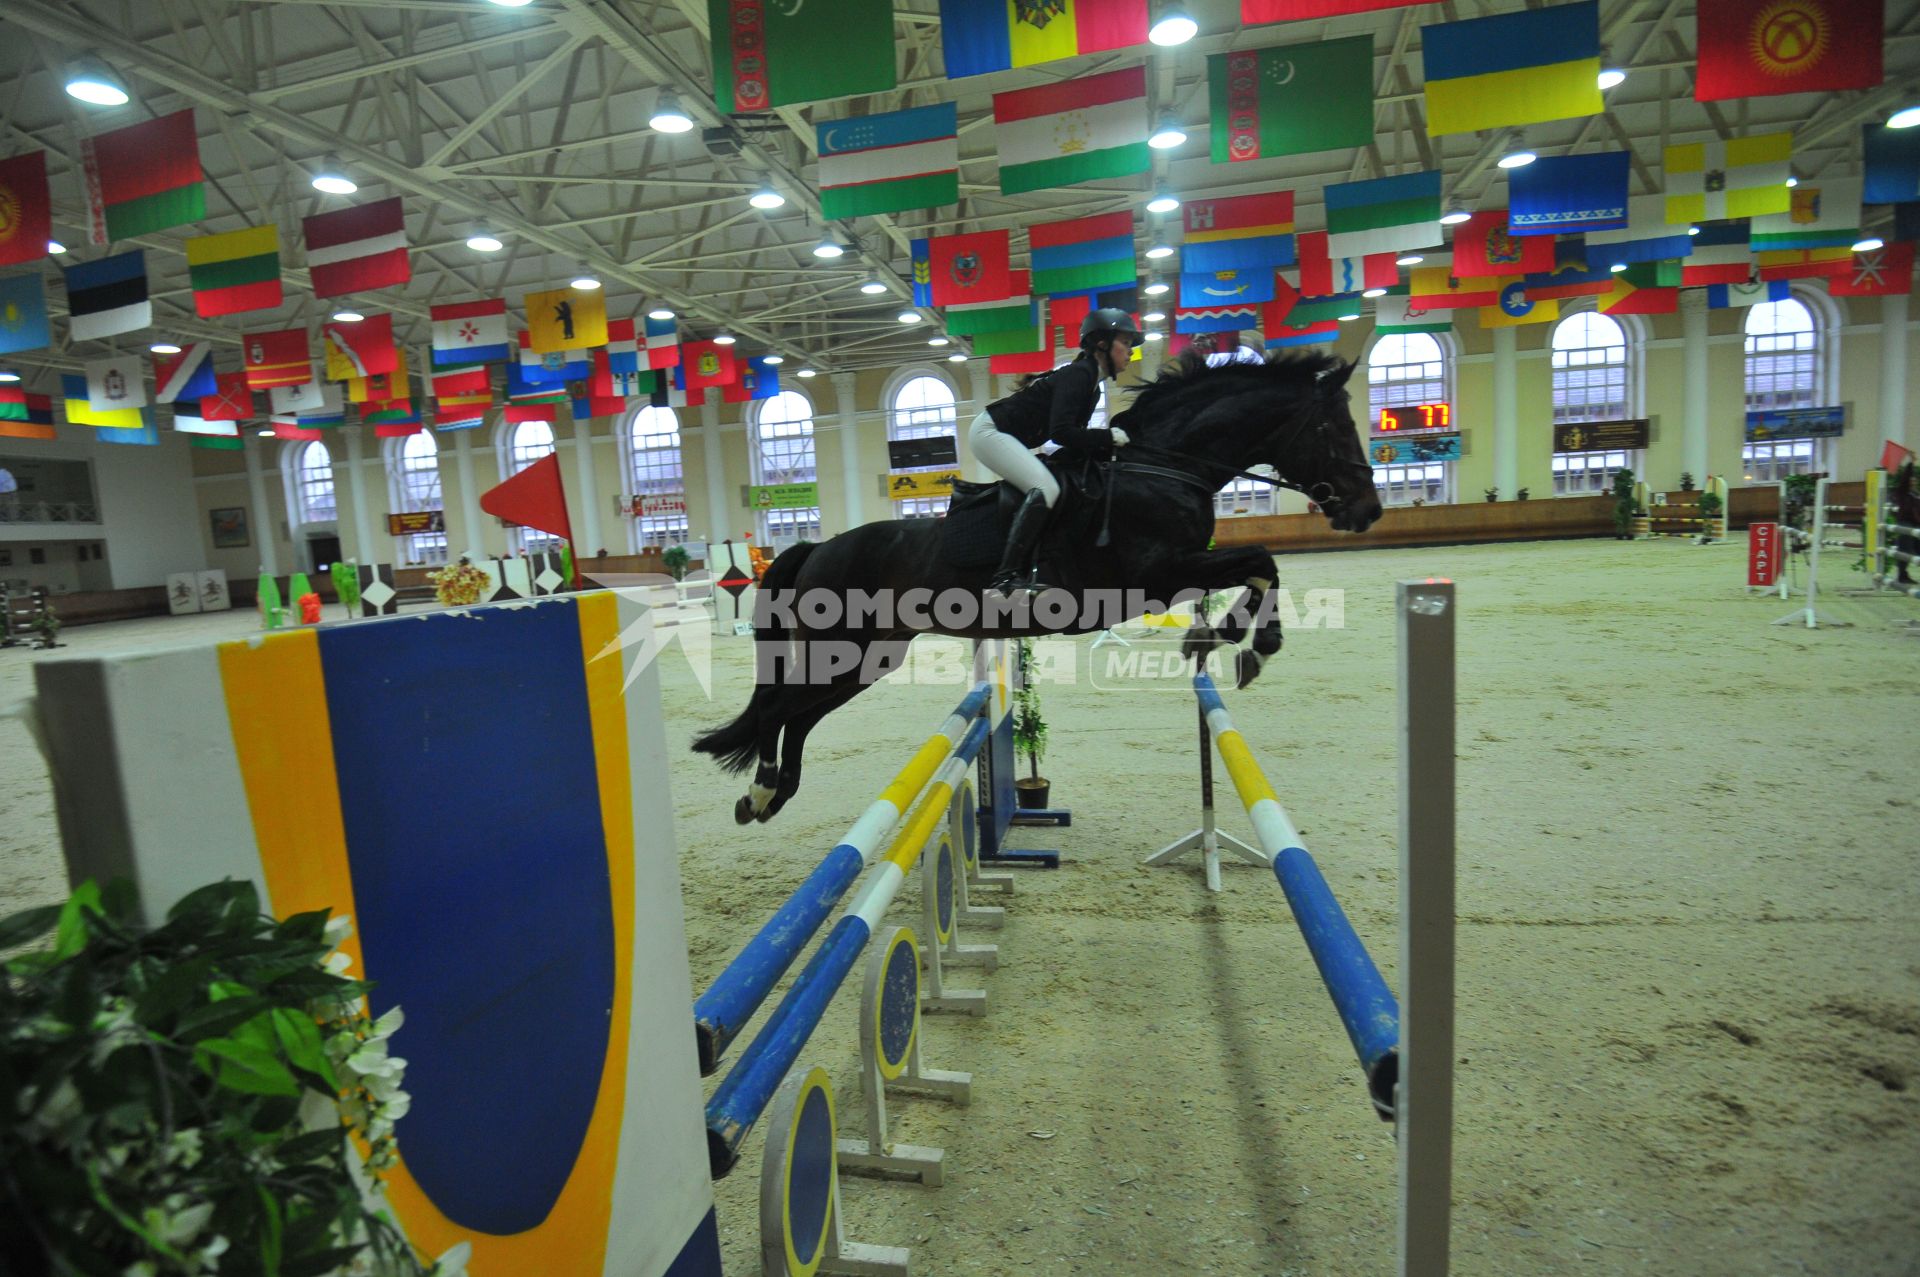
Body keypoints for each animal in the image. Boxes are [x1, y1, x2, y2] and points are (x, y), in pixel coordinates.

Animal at [691, 349, 1382, 821]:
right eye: (1333, 429)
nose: (1367, 511)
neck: (1161, 465)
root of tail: (817, 548)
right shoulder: (1157, 575)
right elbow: (1261, 559)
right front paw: (1242, 643)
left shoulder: (1177, 570)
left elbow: (1261, 566)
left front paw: (1231, 642)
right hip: (842, 646)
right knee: (777, 710)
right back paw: (762, 789)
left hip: (868, 658)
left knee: (799, 714)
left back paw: (771, 795)